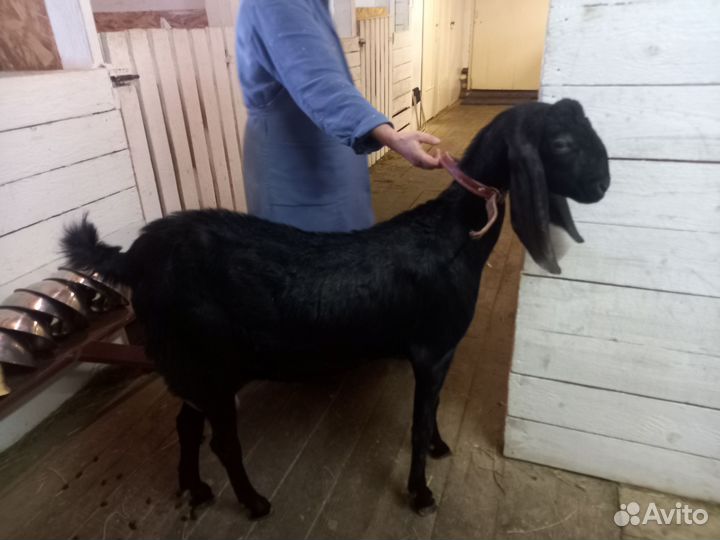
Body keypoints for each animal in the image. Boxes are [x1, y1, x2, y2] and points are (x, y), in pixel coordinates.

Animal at [61, 99, 609, 519]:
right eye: (561, 144)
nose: (602, 186)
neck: (454, 235)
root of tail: (132, 257)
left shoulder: (444, 354)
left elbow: (431, 411)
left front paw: (438, 446)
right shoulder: (431, 350)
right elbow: (415, 423)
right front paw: (421, 493)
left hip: (191, 366)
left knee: (187, 425)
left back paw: (195, 488)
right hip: (207, 363)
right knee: (220, 440)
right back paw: (254, 503)